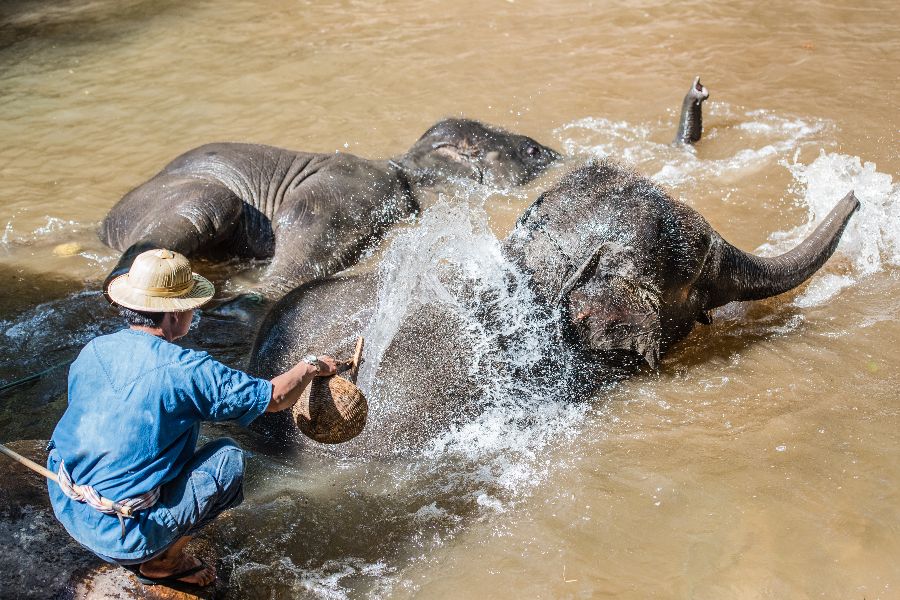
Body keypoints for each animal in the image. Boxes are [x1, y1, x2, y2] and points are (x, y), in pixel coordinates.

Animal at [100, 117, 564, 314]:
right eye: (532, 151)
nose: (553, 153)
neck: (407, 169)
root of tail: (105, 226)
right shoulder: (355, 186)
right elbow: (302, 220)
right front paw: (248, 300)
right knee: (209, 205)